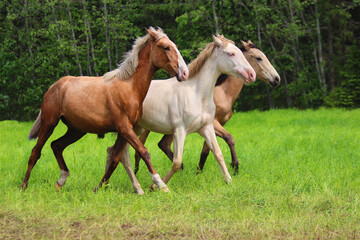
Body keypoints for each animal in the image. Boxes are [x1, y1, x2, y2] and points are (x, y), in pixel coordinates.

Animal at [20, 27, 188, 195]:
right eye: (166, 47)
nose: (184, 73)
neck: (129, 87)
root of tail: (54, 86)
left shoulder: (125, 130)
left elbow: (115, 158)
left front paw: (99, 187)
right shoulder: (124, 127)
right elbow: (144, 152)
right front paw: (161, 185)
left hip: (76, 130)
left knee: (56, 145)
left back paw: (60, 181)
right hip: (49, 123)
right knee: (36, 152)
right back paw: (24, 186)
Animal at [105, 35, 255, 193]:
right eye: (230, 54)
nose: (251, 74)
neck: (197, 94)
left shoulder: (206, 128)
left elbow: (218, 153)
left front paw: (229, 181)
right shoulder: (180, 131)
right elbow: (177, 162)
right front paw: (155, 186)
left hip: (135, 129)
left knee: (116, 152)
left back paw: (118, 186)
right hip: (130, 129)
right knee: (121, 154)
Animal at [134, 39, 280, 174]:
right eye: (258, 58)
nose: (276, 79)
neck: (222, 93)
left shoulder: (210, 125)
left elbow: (207, 150)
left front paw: (199, 171)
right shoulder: (214, 123)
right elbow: (229, 138)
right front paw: (235, 166)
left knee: (161, 145)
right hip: (148, 127)